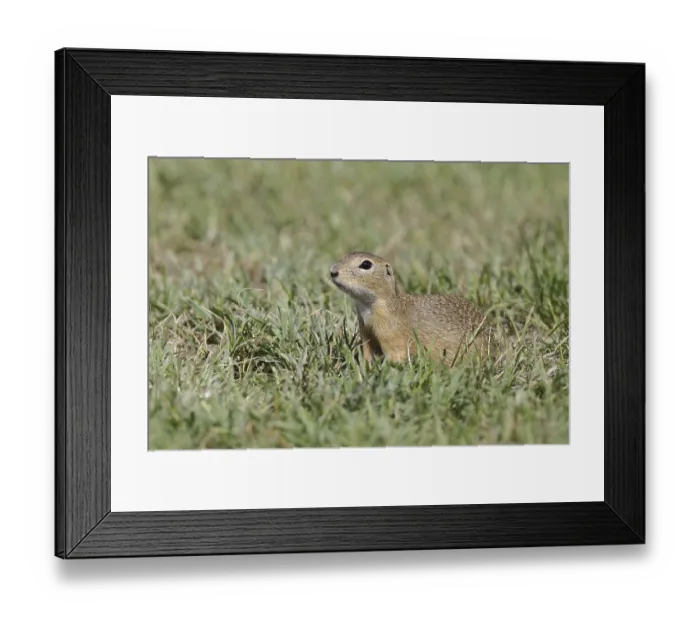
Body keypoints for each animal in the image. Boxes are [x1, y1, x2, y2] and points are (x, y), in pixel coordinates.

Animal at [330, 251, 495, 365]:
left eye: (366, 264)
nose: (333, 271)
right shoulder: (366, 330)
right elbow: (367, 351)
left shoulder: (392, 334)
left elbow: (395, 355)